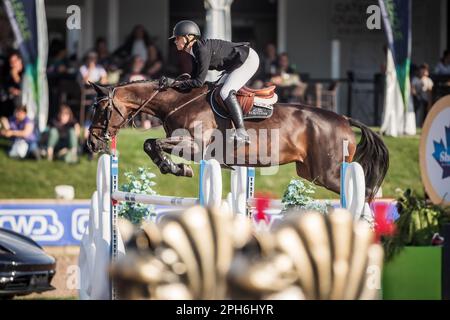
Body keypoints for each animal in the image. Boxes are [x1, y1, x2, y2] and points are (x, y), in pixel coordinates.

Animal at [87, 78, 386, 201]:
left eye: (101, 109)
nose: (92, 144)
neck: (178, 102)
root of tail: (345, 119)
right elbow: (150, 144)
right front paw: (176, 168)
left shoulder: (196, 147)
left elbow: (152, 143)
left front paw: (178, 168)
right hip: (311, 172)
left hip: (329, 173)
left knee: (367, 192)